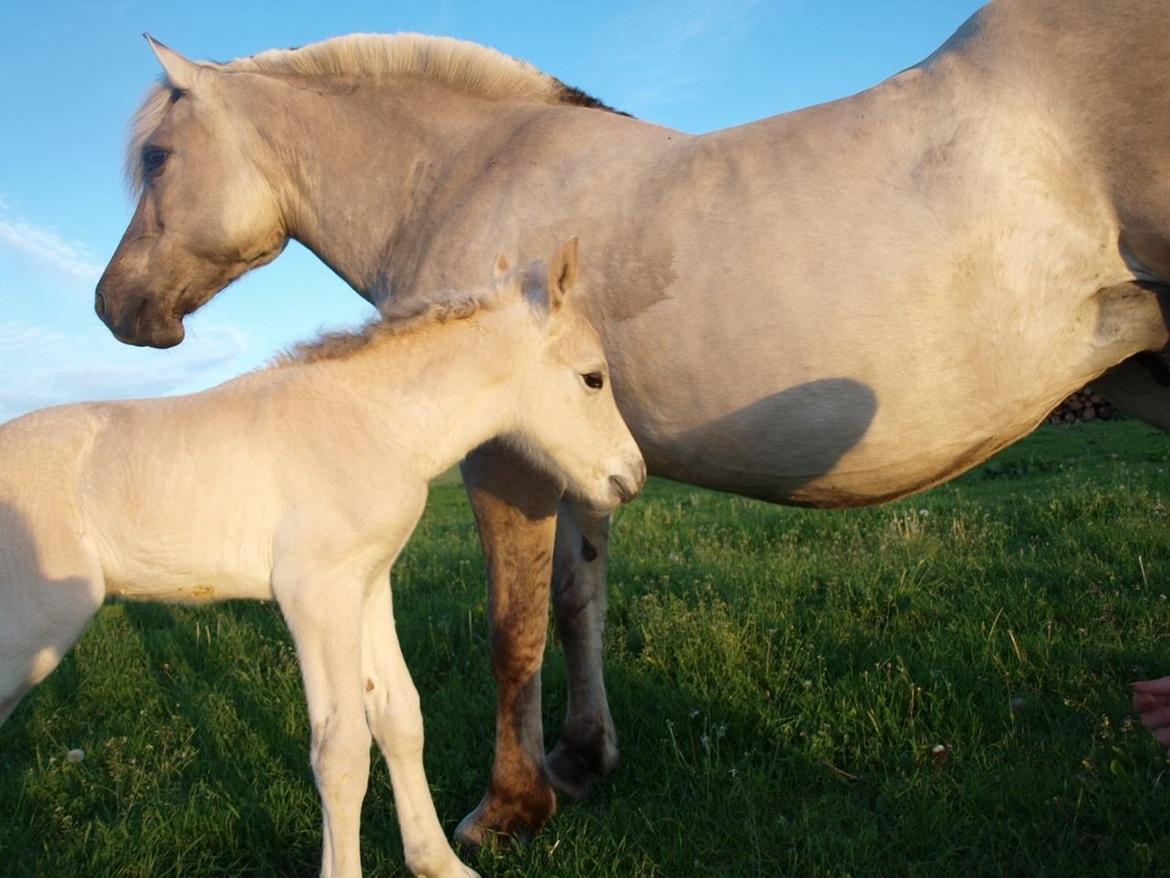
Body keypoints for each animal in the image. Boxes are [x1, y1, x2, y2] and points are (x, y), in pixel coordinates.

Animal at [0, 238, 641, 878]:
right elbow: (342, 748)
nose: (630, 478)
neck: (374, 421)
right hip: (32, 634)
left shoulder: (369, 583)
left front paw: (437, 864)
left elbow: (399, 717)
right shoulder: (315, 593)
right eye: (592, 378)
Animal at [98, 1, 1170, 852]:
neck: (471, 179)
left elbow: (515, 631)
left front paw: (509, 808)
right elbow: (579, 605)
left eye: (157, 157)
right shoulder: (576, 455)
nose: (115, 306)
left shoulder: (505, 460)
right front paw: (580, 760)